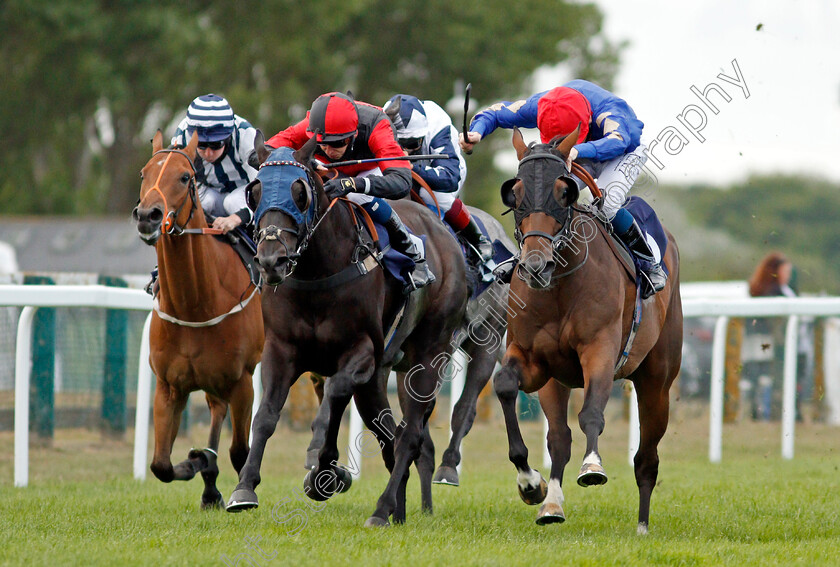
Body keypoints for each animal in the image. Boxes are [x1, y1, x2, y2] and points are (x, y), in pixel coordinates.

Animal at [131, 132, 264, 510]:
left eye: (184, 177)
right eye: (144, 173)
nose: (148, 215)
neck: (195, 304)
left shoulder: (243, 380)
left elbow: (240, 451)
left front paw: (241, 492)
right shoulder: (168, 386)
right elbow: (160, 465)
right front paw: (197, 463)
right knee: (216, 410)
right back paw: (208, 480)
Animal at [226, 134, 470, 528]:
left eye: (299, 192)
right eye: (255, 191)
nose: (271, 260)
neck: (318, 272)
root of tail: (446, 237)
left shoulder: (363, 352)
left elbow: (335, 393)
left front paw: (321, 461)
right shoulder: (281, 349)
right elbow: (266, 415)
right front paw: (245, 487)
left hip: (428, 355)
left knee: (409, 435)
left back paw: (382, 510)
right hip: (378, 379)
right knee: (388, 434)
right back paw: (396, 510)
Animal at [492, 126, 684, 536]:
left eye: (563, 192)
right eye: (515, 193)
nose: (535, 265)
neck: (559, 285)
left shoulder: (600, 350)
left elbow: (592, 413)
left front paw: (593, 466)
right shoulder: (533, 359)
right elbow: (505, 387)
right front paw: (530, 484)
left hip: (657, 381)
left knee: (647, 457)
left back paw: (642, 526)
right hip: (557, 380)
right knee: (559, 438)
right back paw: (550, 505)